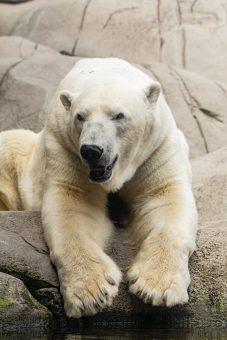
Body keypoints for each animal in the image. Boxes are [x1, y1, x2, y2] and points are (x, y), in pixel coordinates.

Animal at [0, 59, 197, 318]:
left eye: (118, 116)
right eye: (80, 116)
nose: (92, 150)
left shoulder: (157, 147)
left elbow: (164, 196)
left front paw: (156, 287)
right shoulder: (65, 147)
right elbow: (75, 204)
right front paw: (93, 292)